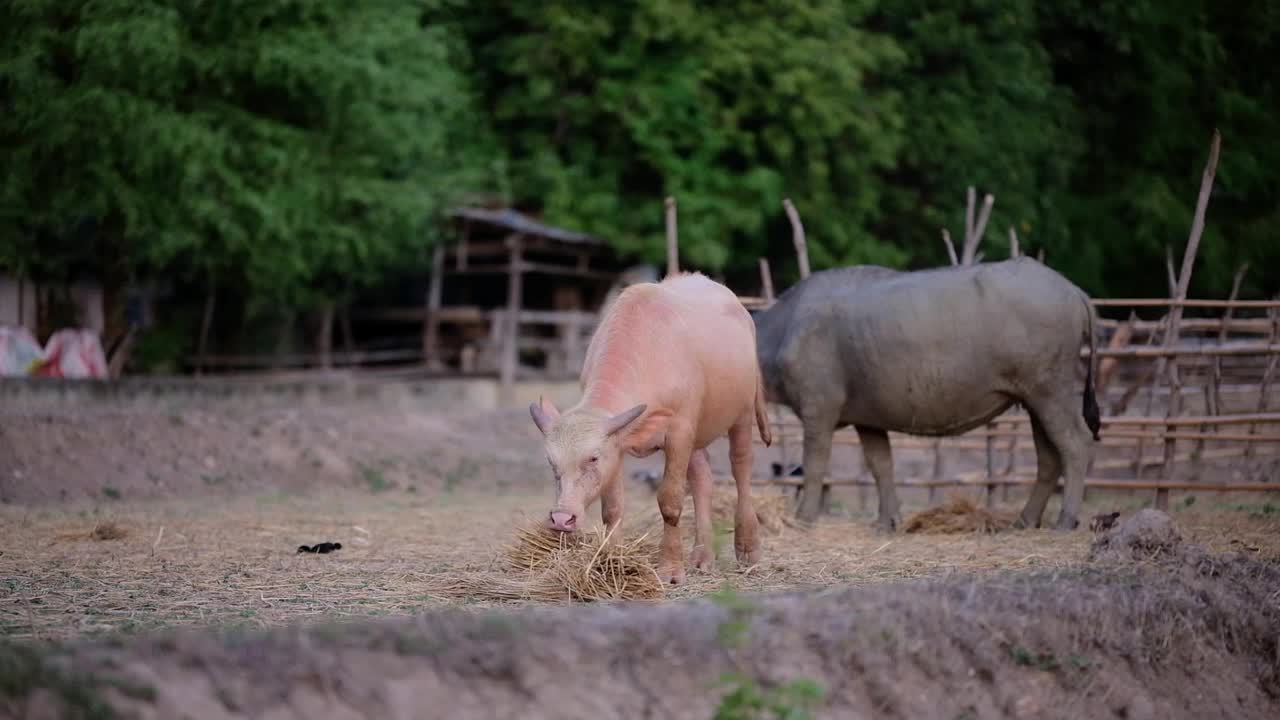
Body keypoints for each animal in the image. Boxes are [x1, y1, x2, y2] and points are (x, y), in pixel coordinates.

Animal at [527, 270, 768, 584]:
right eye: (551, 461)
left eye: (592, 458)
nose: (562, 518)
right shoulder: (619, 445)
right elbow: (612, 508)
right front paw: (611, 562)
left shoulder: (679, 432)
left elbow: (670, 501)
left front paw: (671, 569)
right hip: (698, 434)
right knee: (703, 479)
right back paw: (702, 555)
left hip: (742, 414)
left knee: (741, 468)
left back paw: (748, 546)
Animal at [757, 256, 1100, 527]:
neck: (784, 331)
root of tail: (1074, 291)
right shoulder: (867, 420)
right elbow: (881, 465)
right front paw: (888, 520)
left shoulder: (818, 410)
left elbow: (814, 465)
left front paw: (803, 518)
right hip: (1033, 400)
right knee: (1050, 457)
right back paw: (1026, 520)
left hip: (1051, 392)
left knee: (1076, 444)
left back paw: (1066, 519)